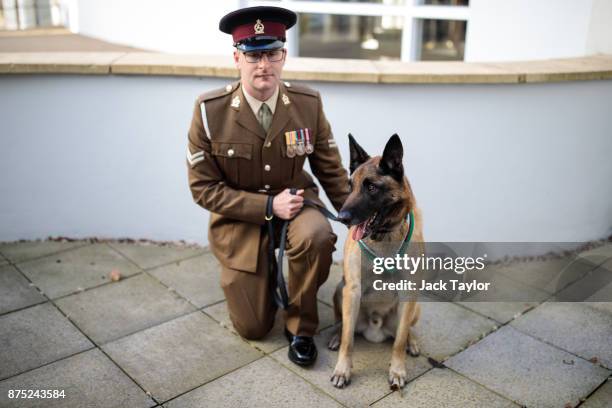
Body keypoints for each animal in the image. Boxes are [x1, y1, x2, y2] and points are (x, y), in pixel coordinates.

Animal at [328, 134, 424, 388]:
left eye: (371, 187)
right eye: (350, 186)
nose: (341, 218)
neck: (384, 237)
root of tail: (376, 328)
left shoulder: (408, 293)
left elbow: (398, 341)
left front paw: (398, 370)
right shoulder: (352, 290)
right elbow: (348, 340)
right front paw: (342, 370)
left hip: (416, 305)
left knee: (404, 330)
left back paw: (412, 341)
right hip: (340, 292)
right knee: (344, 326)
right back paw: (335, 335)